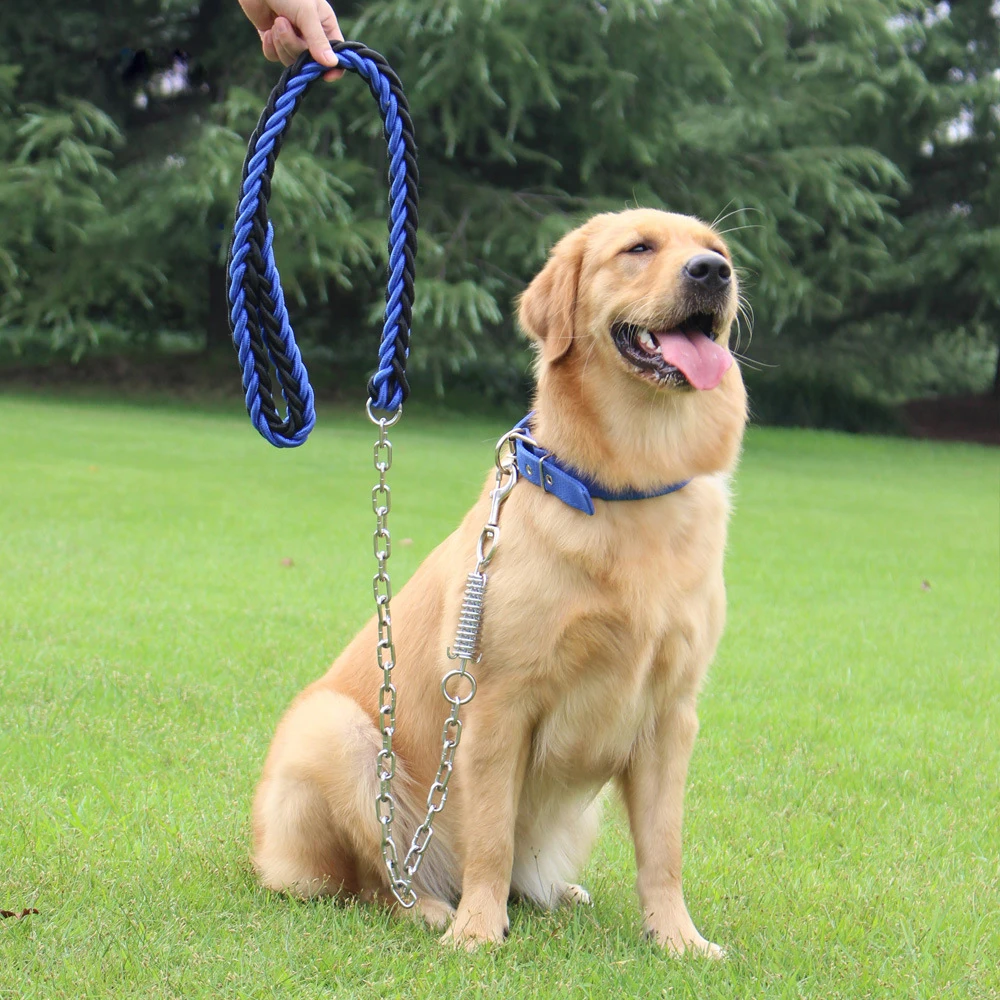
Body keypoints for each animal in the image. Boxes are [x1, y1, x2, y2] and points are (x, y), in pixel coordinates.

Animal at [254, 209, 748, 952]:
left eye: (716, 251)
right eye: (638, 248)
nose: (712, 274)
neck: (626, 486)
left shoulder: (671, 713)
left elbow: (664, 851)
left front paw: (678, 940)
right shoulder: (494, 702)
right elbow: (490, 836)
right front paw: (477, 933)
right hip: (335, 732)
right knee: (377, 877)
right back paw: (431, 908)